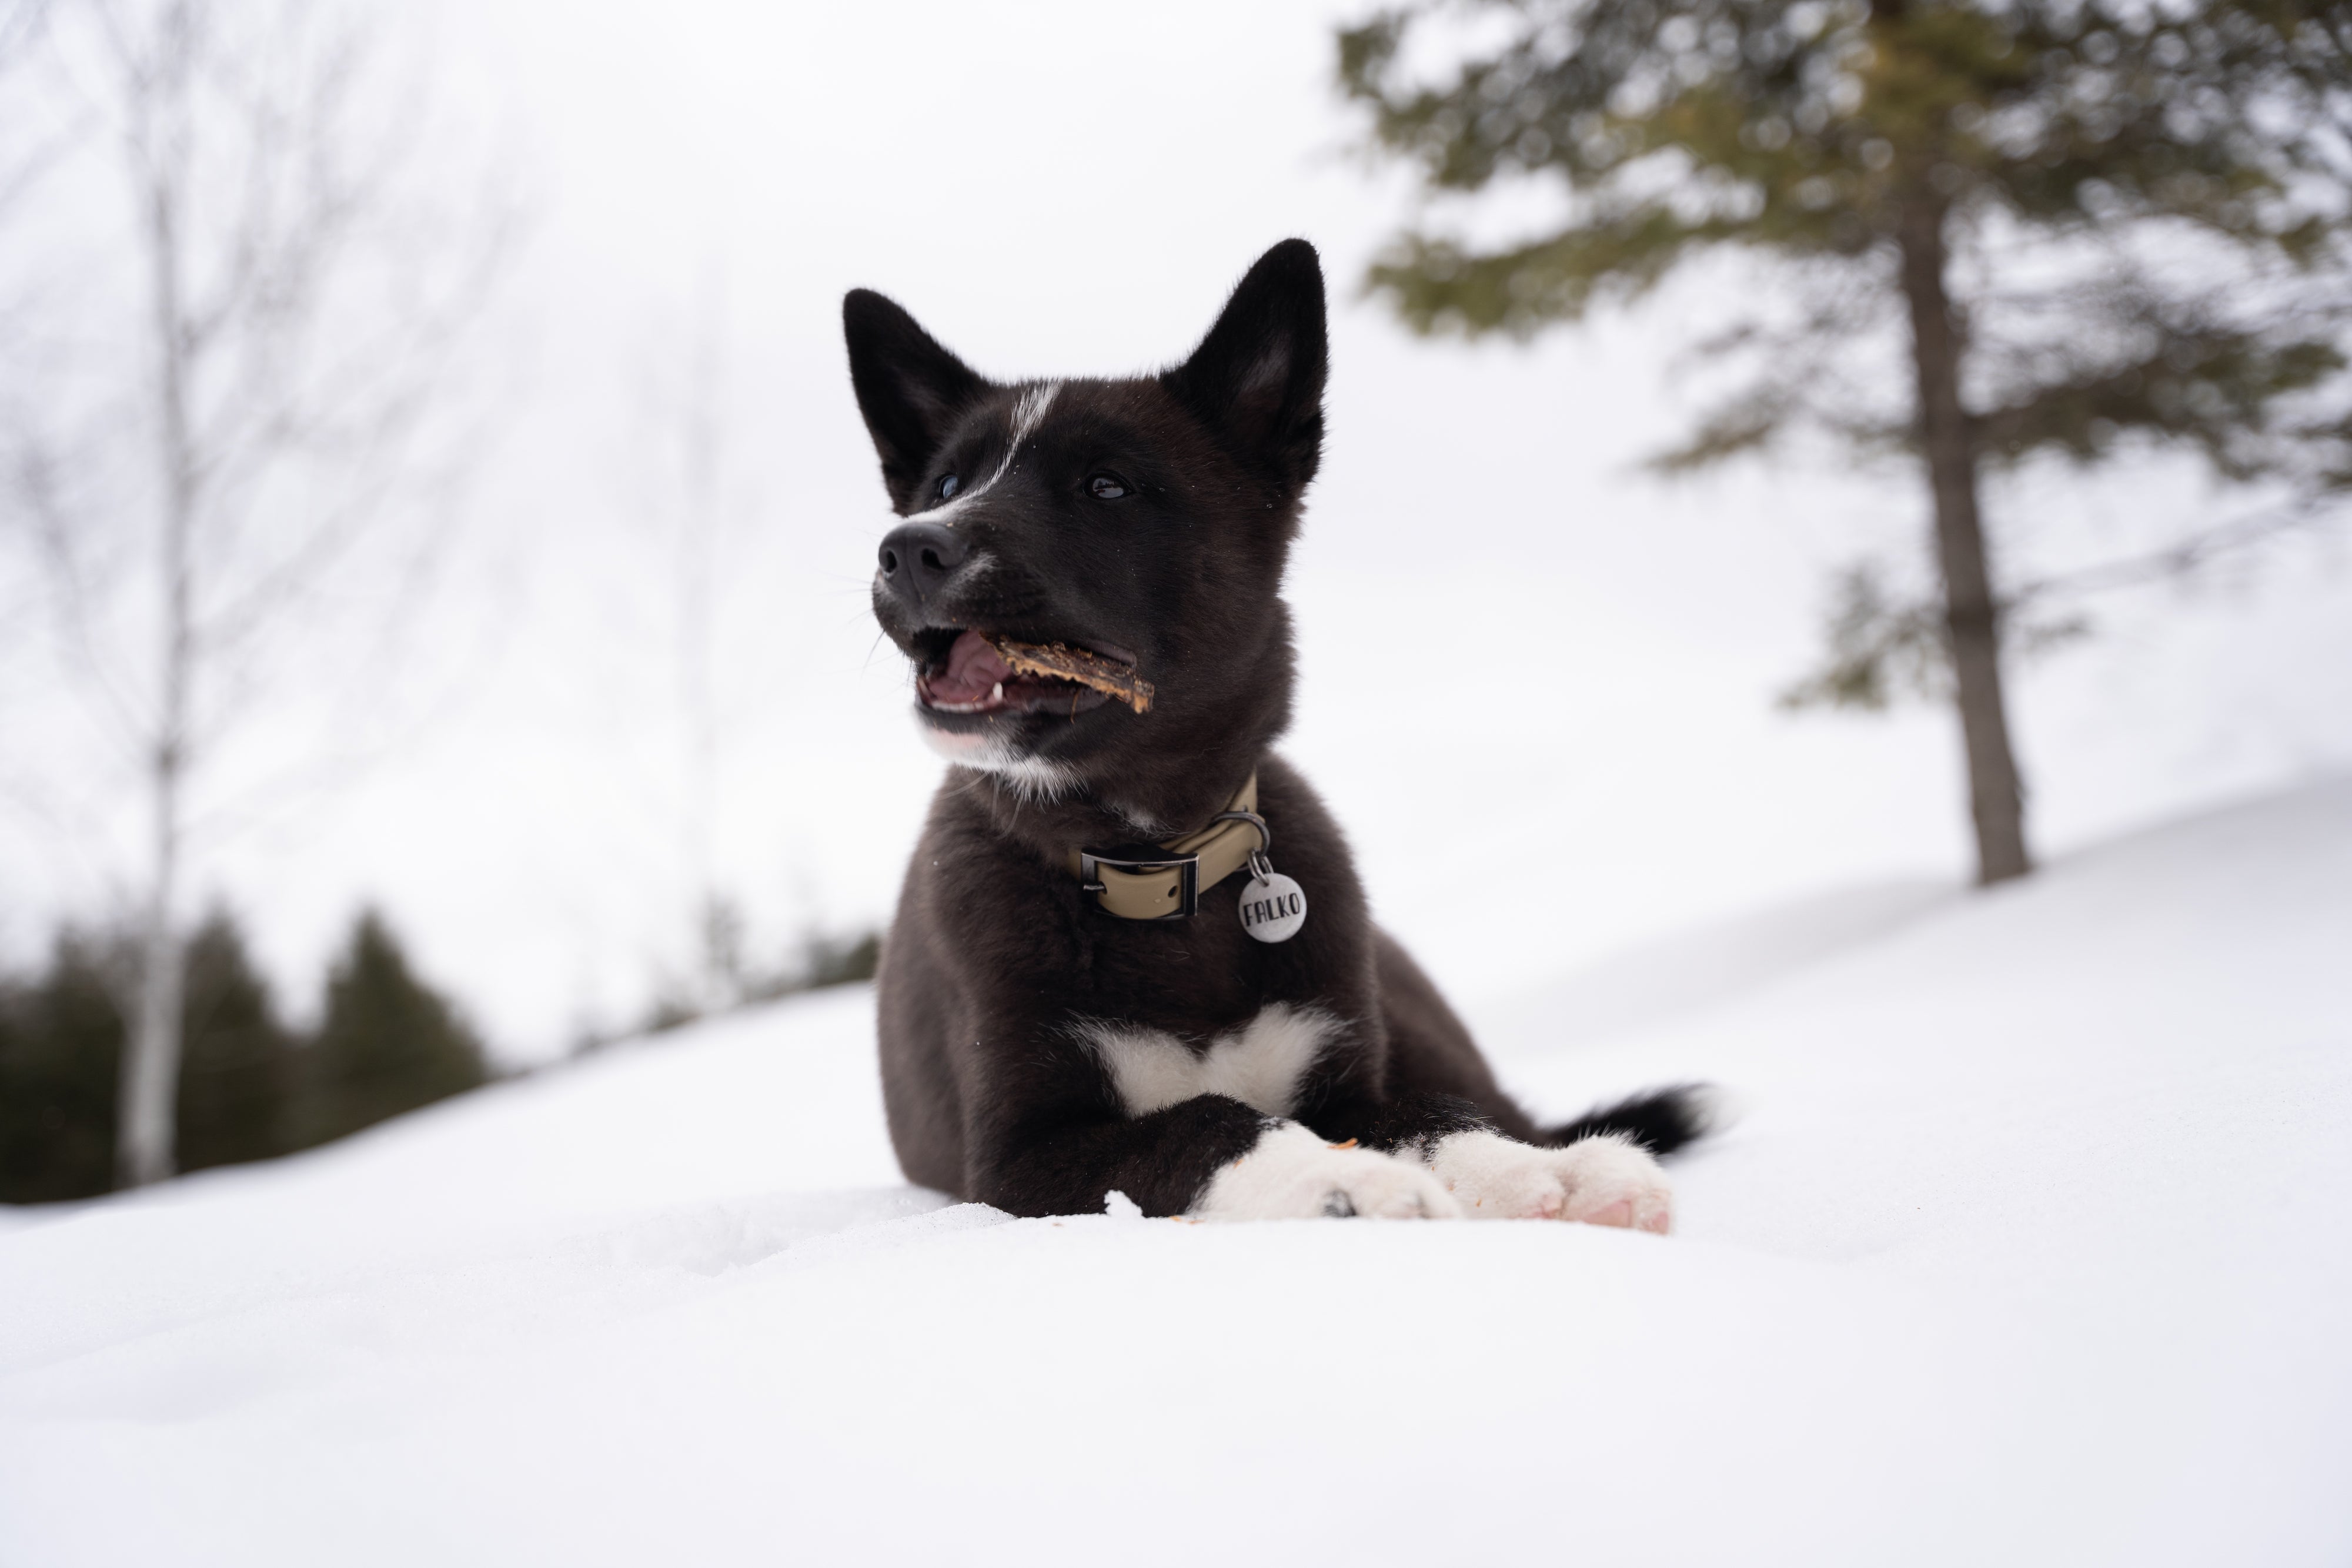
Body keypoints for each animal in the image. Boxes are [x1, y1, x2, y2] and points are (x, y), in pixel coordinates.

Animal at [856, 242, 1703, 1222]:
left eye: (1106, 485)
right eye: (947, 485)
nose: (909, 548)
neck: (1156, 865)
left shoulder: (1351, 1078)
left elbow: (1425, 1110)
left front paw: (1527, 1169)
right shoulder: (1019, 1159)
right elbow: (1205, 1117)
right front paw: (1348, 1179)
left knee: (1493, 1099)